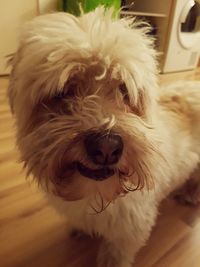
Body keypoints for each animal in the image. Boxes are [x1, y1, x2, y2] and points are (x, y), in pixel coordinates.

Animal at [8, 7, 200, 266]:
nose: (106, 148)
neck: (95, 193)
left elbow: (115, 254)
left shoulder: (131, 228)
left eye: (124, 90)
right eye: (62, 92)